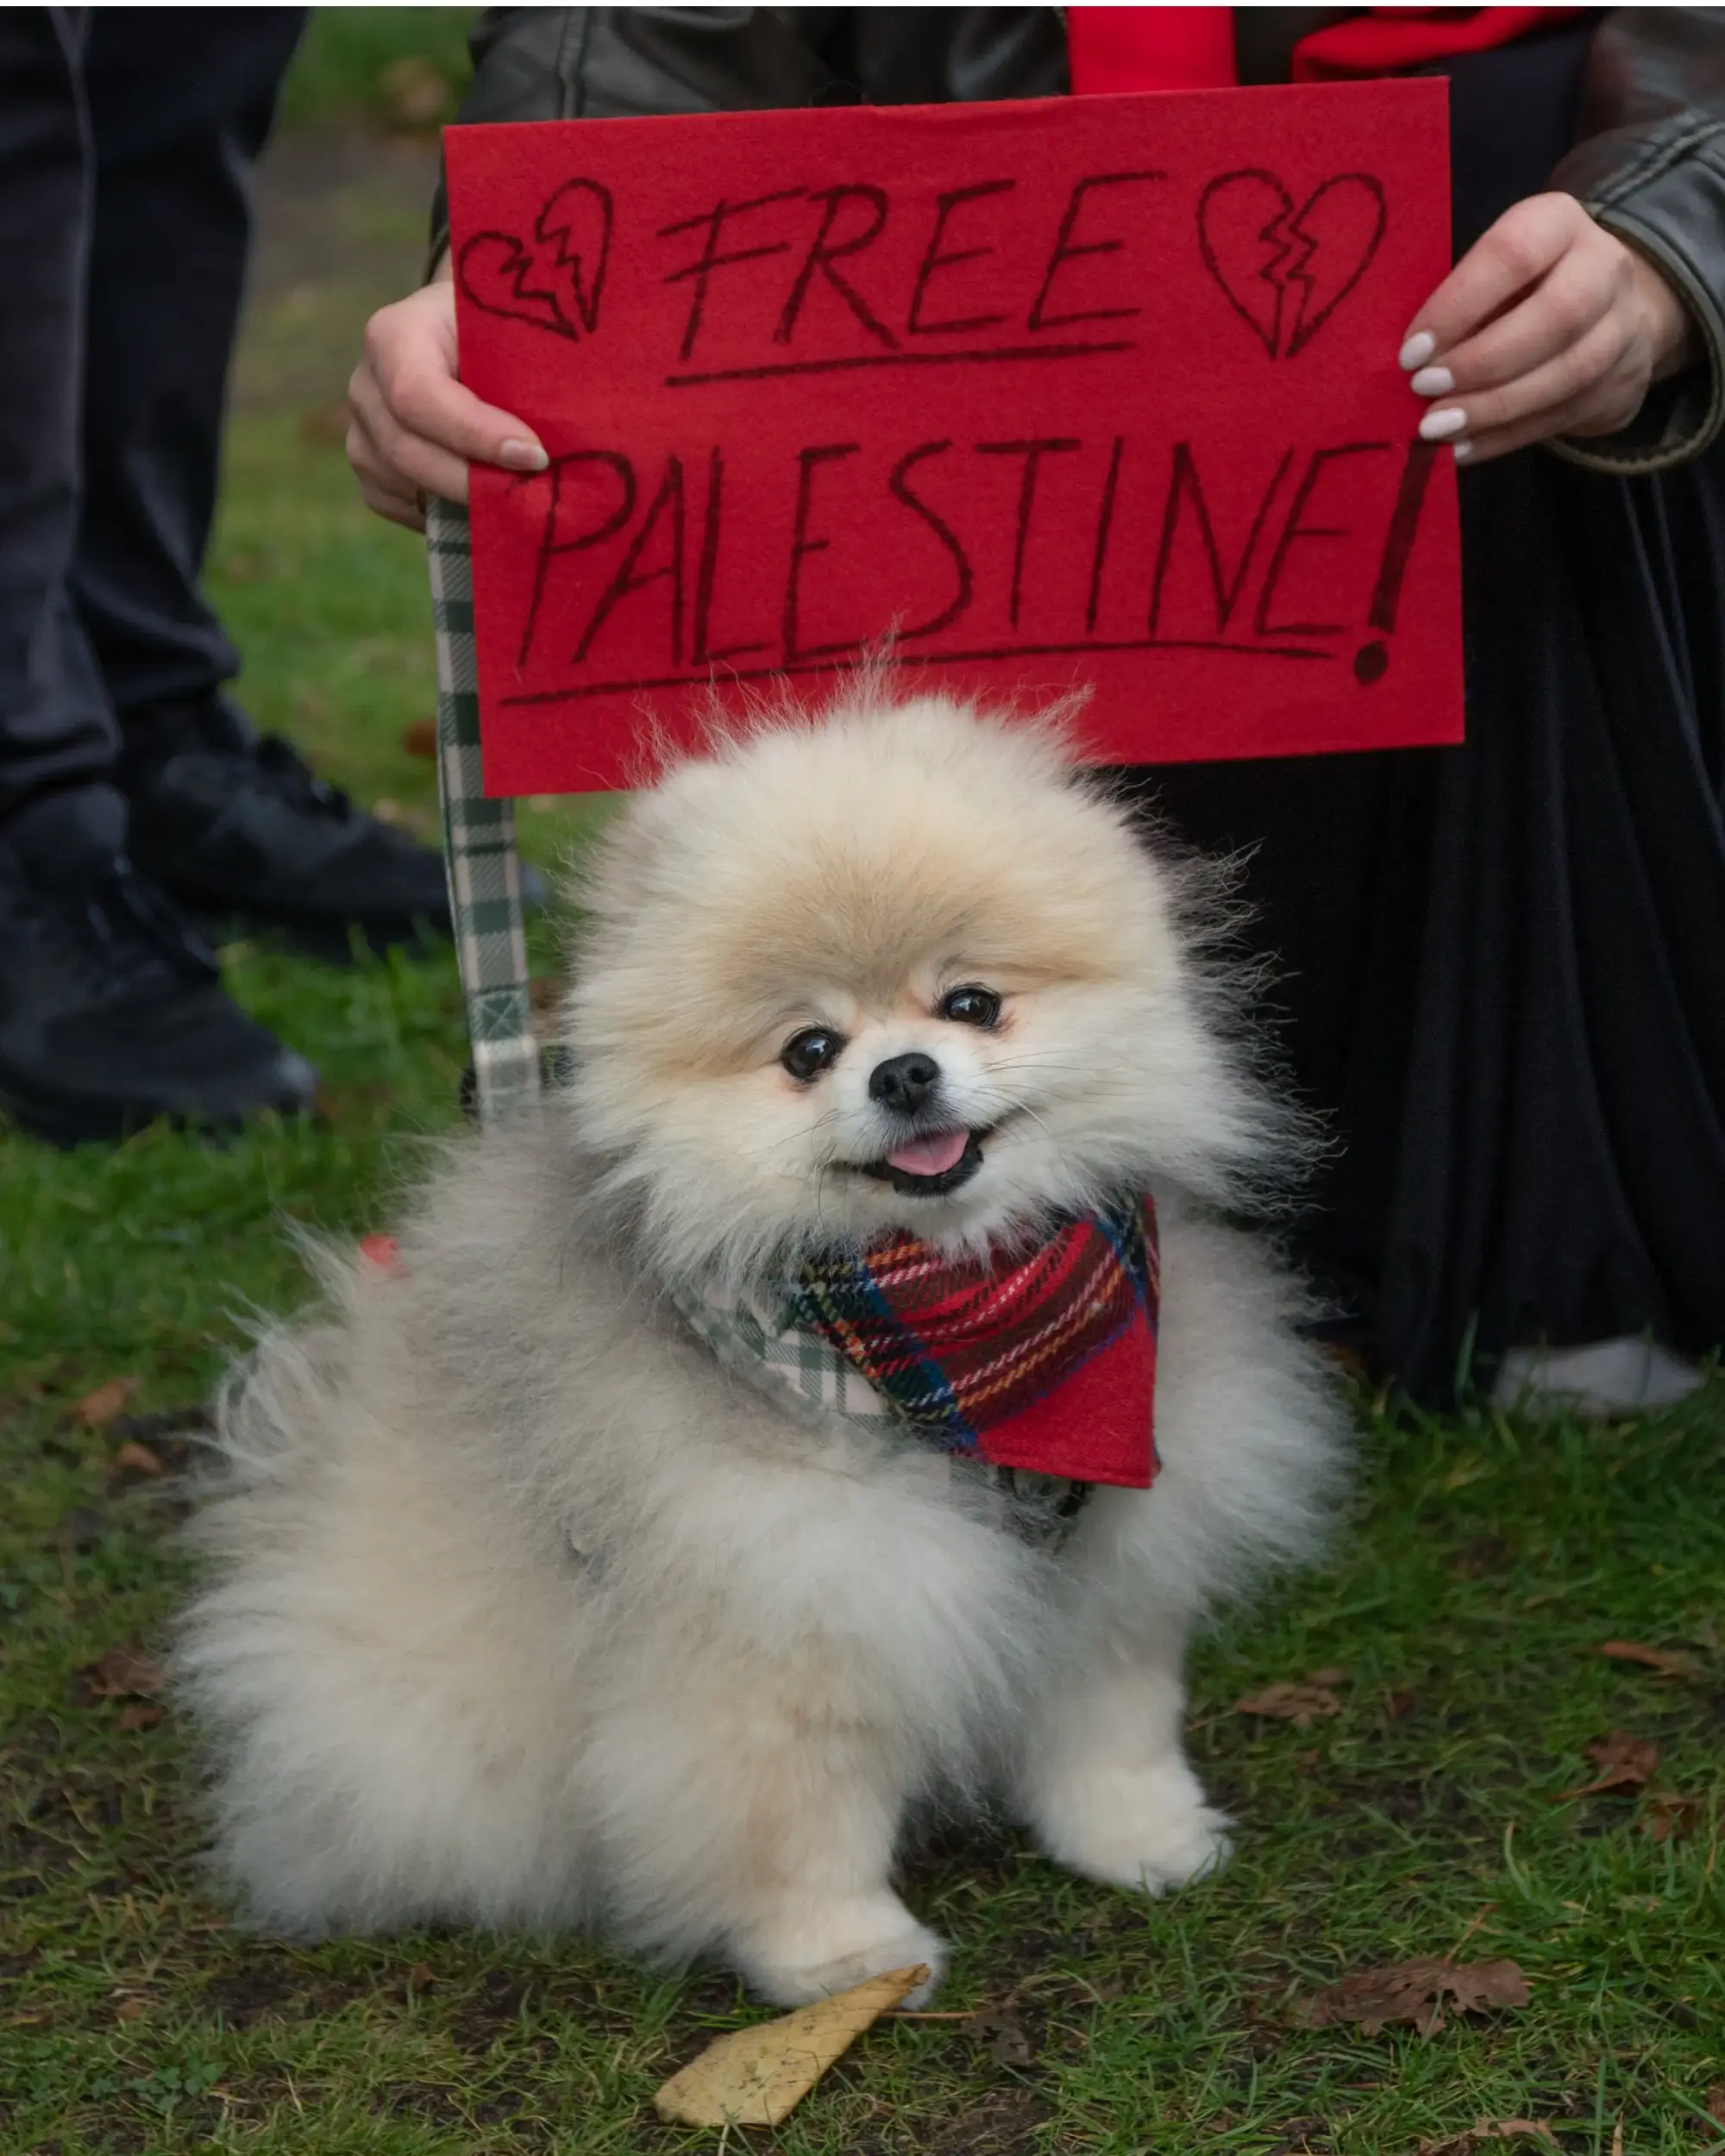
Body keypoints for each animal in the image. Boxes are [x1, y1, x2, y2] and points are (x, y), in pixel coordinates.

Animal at [178, 692, 1347, 2005]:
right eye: (808, 1051)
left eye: (971, 1003)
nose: (904, 1072)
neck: (949, 1343)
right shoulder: (788, 1602)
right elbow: (798, 1819)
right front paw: (845, 1959)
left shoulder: (1113, 1543)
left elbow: (1112, 1712)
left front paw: (1140, 1835)